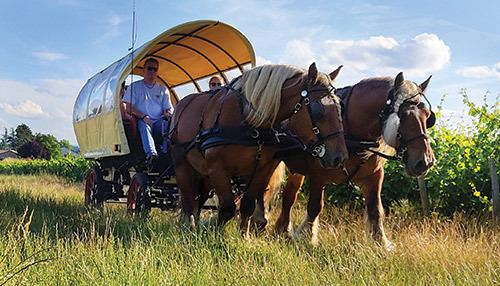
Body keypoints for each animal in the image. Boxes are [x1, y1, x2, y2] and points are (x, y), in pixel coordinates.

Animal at [168, 63, 348, 232]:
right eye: (318, 109)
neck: (249, 122)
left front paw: (244, 236)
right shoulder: (217, 168)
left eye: (340, 106)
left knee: (199, 198)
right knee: (188, 197)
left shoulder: (262, 169)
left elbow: (247, 205)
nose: (340, 157)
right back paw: (188, 226)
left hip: (203, 172)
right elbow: (227, 208)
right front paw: (214, 235)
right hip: (182, 163)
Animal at [274, 72, 434, 249]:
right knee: (289, 195)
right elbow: (315, 206)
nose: (425, 162)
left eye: (428, 116)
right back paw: (282, 228)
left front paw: (381, 243)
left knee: (290, 193)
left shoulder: (374, 176)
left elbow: (376, 210)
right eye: (403, 117)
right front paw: (306, 237)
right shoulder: (317, 176)